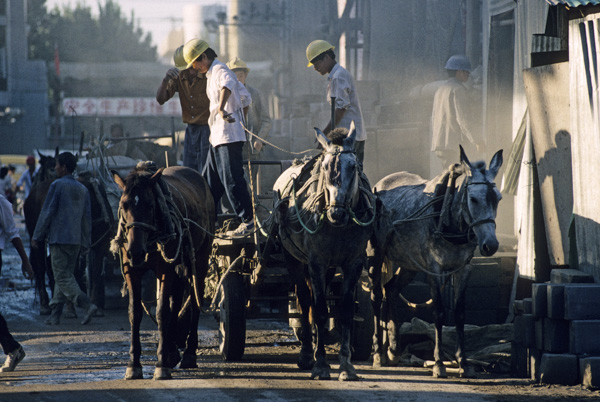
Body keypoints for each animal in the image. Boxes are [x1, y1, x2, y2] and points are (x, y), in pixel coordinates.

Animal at [112, 163, 216, 380]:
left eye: (150, 205)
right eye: (124, 205)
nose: (136, 251)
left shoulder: (165, 269)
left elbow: (161, 312)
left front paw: (161, 365)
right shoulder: (131, 270)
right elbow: (135, 312)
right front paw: (134, 364)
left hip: (200, 258)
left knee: (194, 300)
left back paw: (188, 354)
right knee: (176, 303)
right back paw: (172, 351)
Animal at [274, 124, 376, 382]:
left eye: (354, 167)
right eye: (325, 166)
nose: (336, 213)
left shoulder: (353, 262)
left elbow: (346, 310)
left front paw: (347, 366)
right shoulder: (316, 262)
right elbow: (319, 310)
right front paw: (320, 365)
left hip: (329, 268)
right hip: (294, 259)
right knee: (304, 300)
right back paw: (306, 355)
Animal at [370, 146, 502, 378]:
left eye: (498, 198)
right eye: (473, 199)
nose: (491, 245)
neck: (447, 220)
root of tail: (379, 185)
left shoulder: (463, 269)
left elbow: (459, 314)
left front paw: (464, 363)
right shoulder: (434, 269)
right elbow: (439, 313)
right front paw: (439, 364)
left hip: (409, 264)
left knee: (391, 289)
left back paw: (394, 350)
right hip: (377, 255)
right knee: (377, 295)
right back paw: (378, 353)